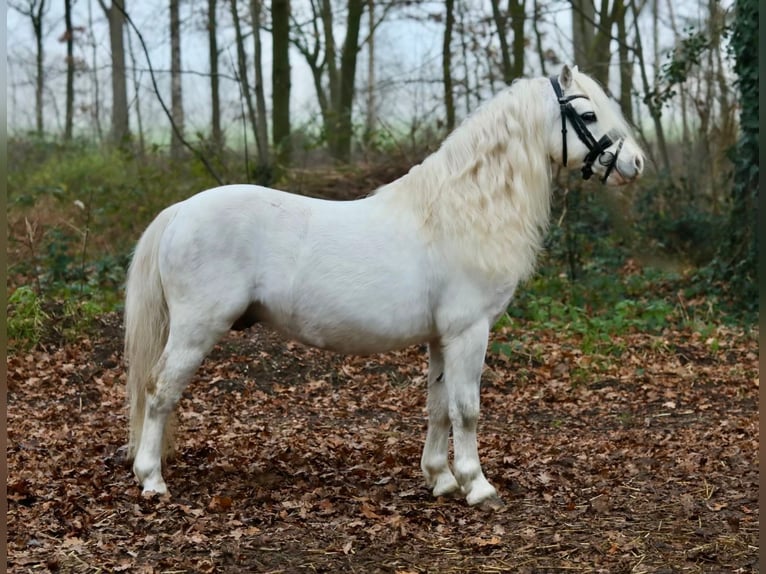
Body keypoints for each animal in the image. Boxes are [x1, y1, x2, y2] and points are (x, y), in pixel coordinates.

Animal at [124, 65, 640, 510]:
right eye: (588, 115)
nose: (634, 163)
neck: (462, 212)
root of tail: (181, 210)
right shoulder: (469, 331)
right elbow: (467, 408)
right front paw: (477, 485)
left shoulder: (441, 338)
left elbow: (438, 407)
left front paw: (441, 478)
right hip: (196, 328)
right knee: (159, 391)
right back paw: (152, 479)